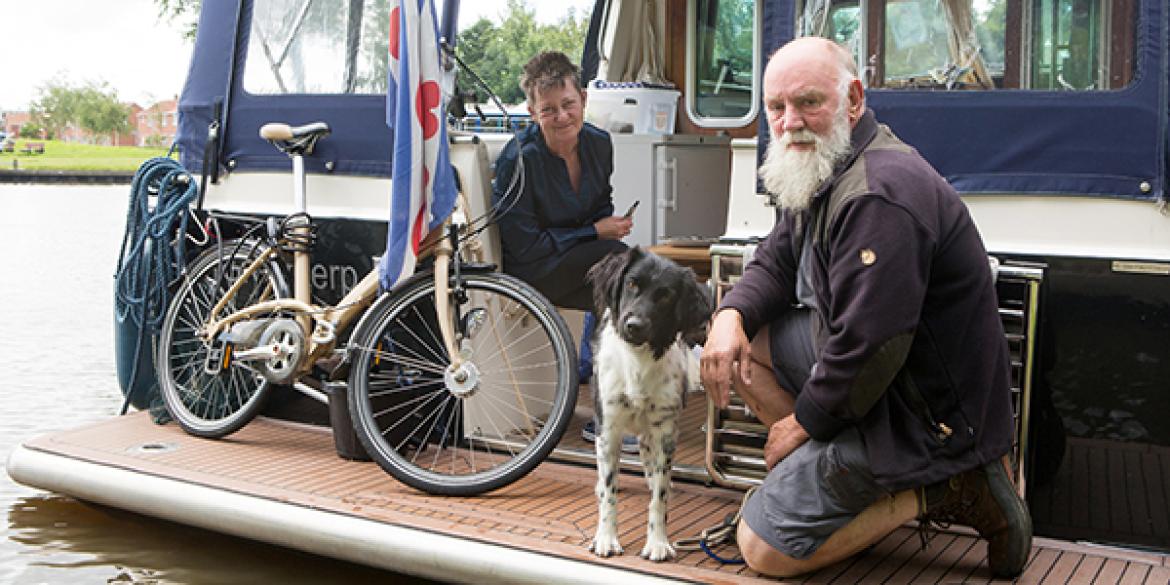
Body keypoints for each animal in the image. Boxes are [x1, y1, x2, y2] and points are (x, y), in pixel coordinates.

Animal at [585, 244, 711, 559]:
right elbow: (610, 490)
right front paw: (606, 538)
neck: (638, 360)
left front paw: (657, 542)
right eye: (631, 284)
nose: (633, 325)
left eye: (665, 295)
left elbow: (659, 495)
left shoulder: (665, 431)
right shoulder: (608, 428)